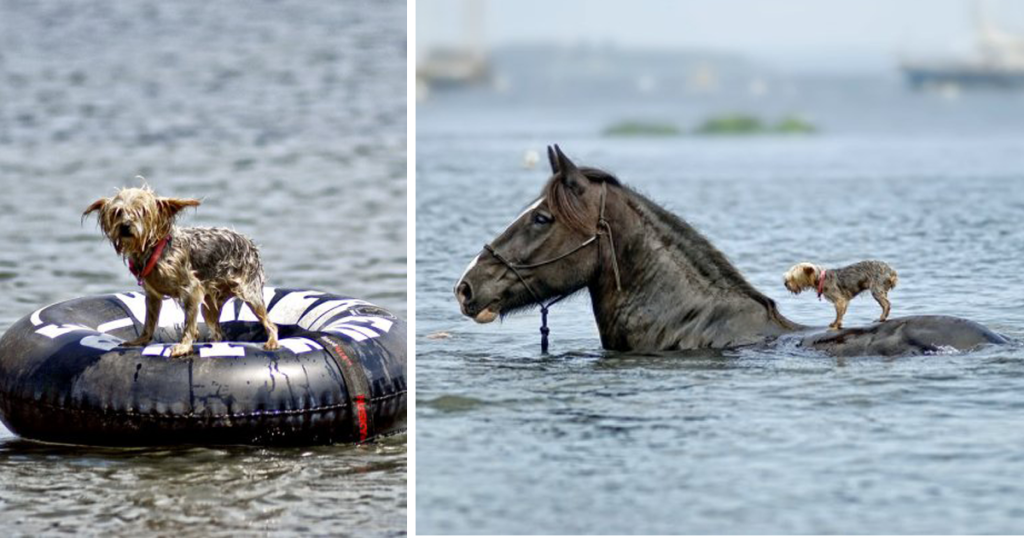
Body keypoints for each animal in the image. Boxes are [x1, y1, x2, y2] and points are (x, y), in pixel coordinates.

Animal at [83, 184, 278, 356]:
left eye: (142, 211)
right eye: (117, 212)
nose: (125, 226)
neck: (153, 251)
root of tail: (249, 243)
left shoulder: (192, 289)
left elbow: (189, 323)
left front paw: (183, 346)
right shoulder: (152, 297)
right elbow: (149, 322)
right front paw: (140, 341)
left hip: (249, 291)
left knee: (269, 323)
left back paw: (272, 341)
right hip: (210, 305)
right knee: (217, 331)